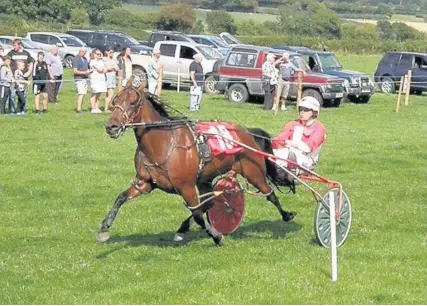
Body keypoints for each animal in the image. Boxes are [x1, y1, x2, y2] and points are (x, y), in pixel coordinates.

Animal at [98, 79, 296, 246]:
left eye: (132, 102)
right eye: (116, 99)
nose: (111, 127)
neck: (164, 144)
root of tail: (246, 131)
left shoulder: (186, 187)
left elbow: (198, 214)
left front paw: (217, 236)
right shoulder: (145, 183)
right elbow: (120, 198)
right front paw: (104, 229)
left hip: (253, 172)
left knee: (269, 194)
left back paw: (287, 215)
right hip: (205, 179)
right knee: (210, 203)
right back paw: (183, 228)